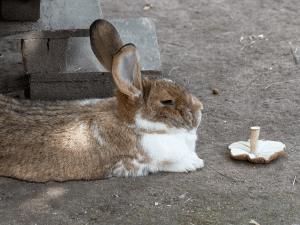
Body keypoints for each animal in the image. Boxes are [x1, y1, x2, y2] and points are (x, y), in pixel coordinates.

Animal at [0, 18, 204, 182]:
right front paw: (194, 163)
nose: (200, 108)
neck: (132, 124)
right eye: (167, 101)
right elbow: (165, 164)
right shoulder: (137, 162)